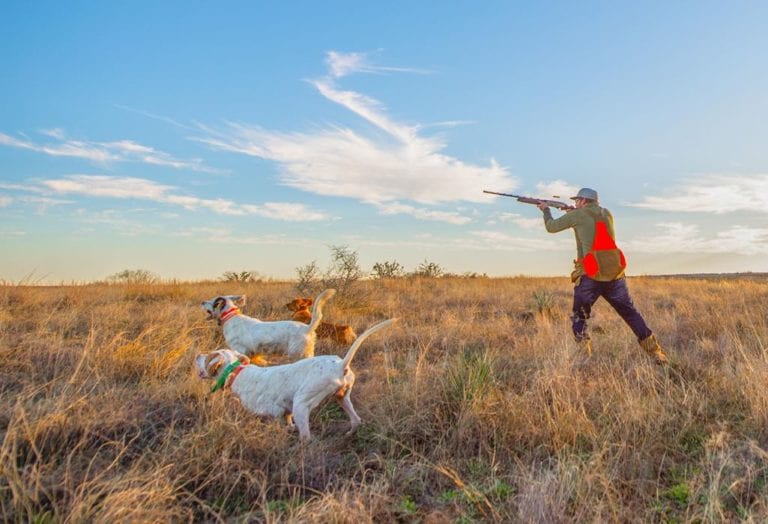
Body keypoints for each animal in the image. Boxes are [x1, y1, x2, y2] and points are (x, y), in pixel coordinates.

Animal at [195, 320, 396, 442]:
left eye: (208, 356)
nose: (197, 355)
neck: (238, 373)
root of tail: (340, 365)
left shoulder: (274, 412)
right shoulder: (286, 411)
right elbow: (288, 421)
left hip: (302, 404)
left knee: (306, 437)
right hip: (341, 398)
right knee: (356, 420)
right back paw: (348, 435)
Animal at [200, 286, 334, 360]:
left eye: (212, 301)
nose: (202, 302)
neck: (231, 317)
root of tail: (307, 328)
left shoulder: (240, 350)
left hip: (298, 355)